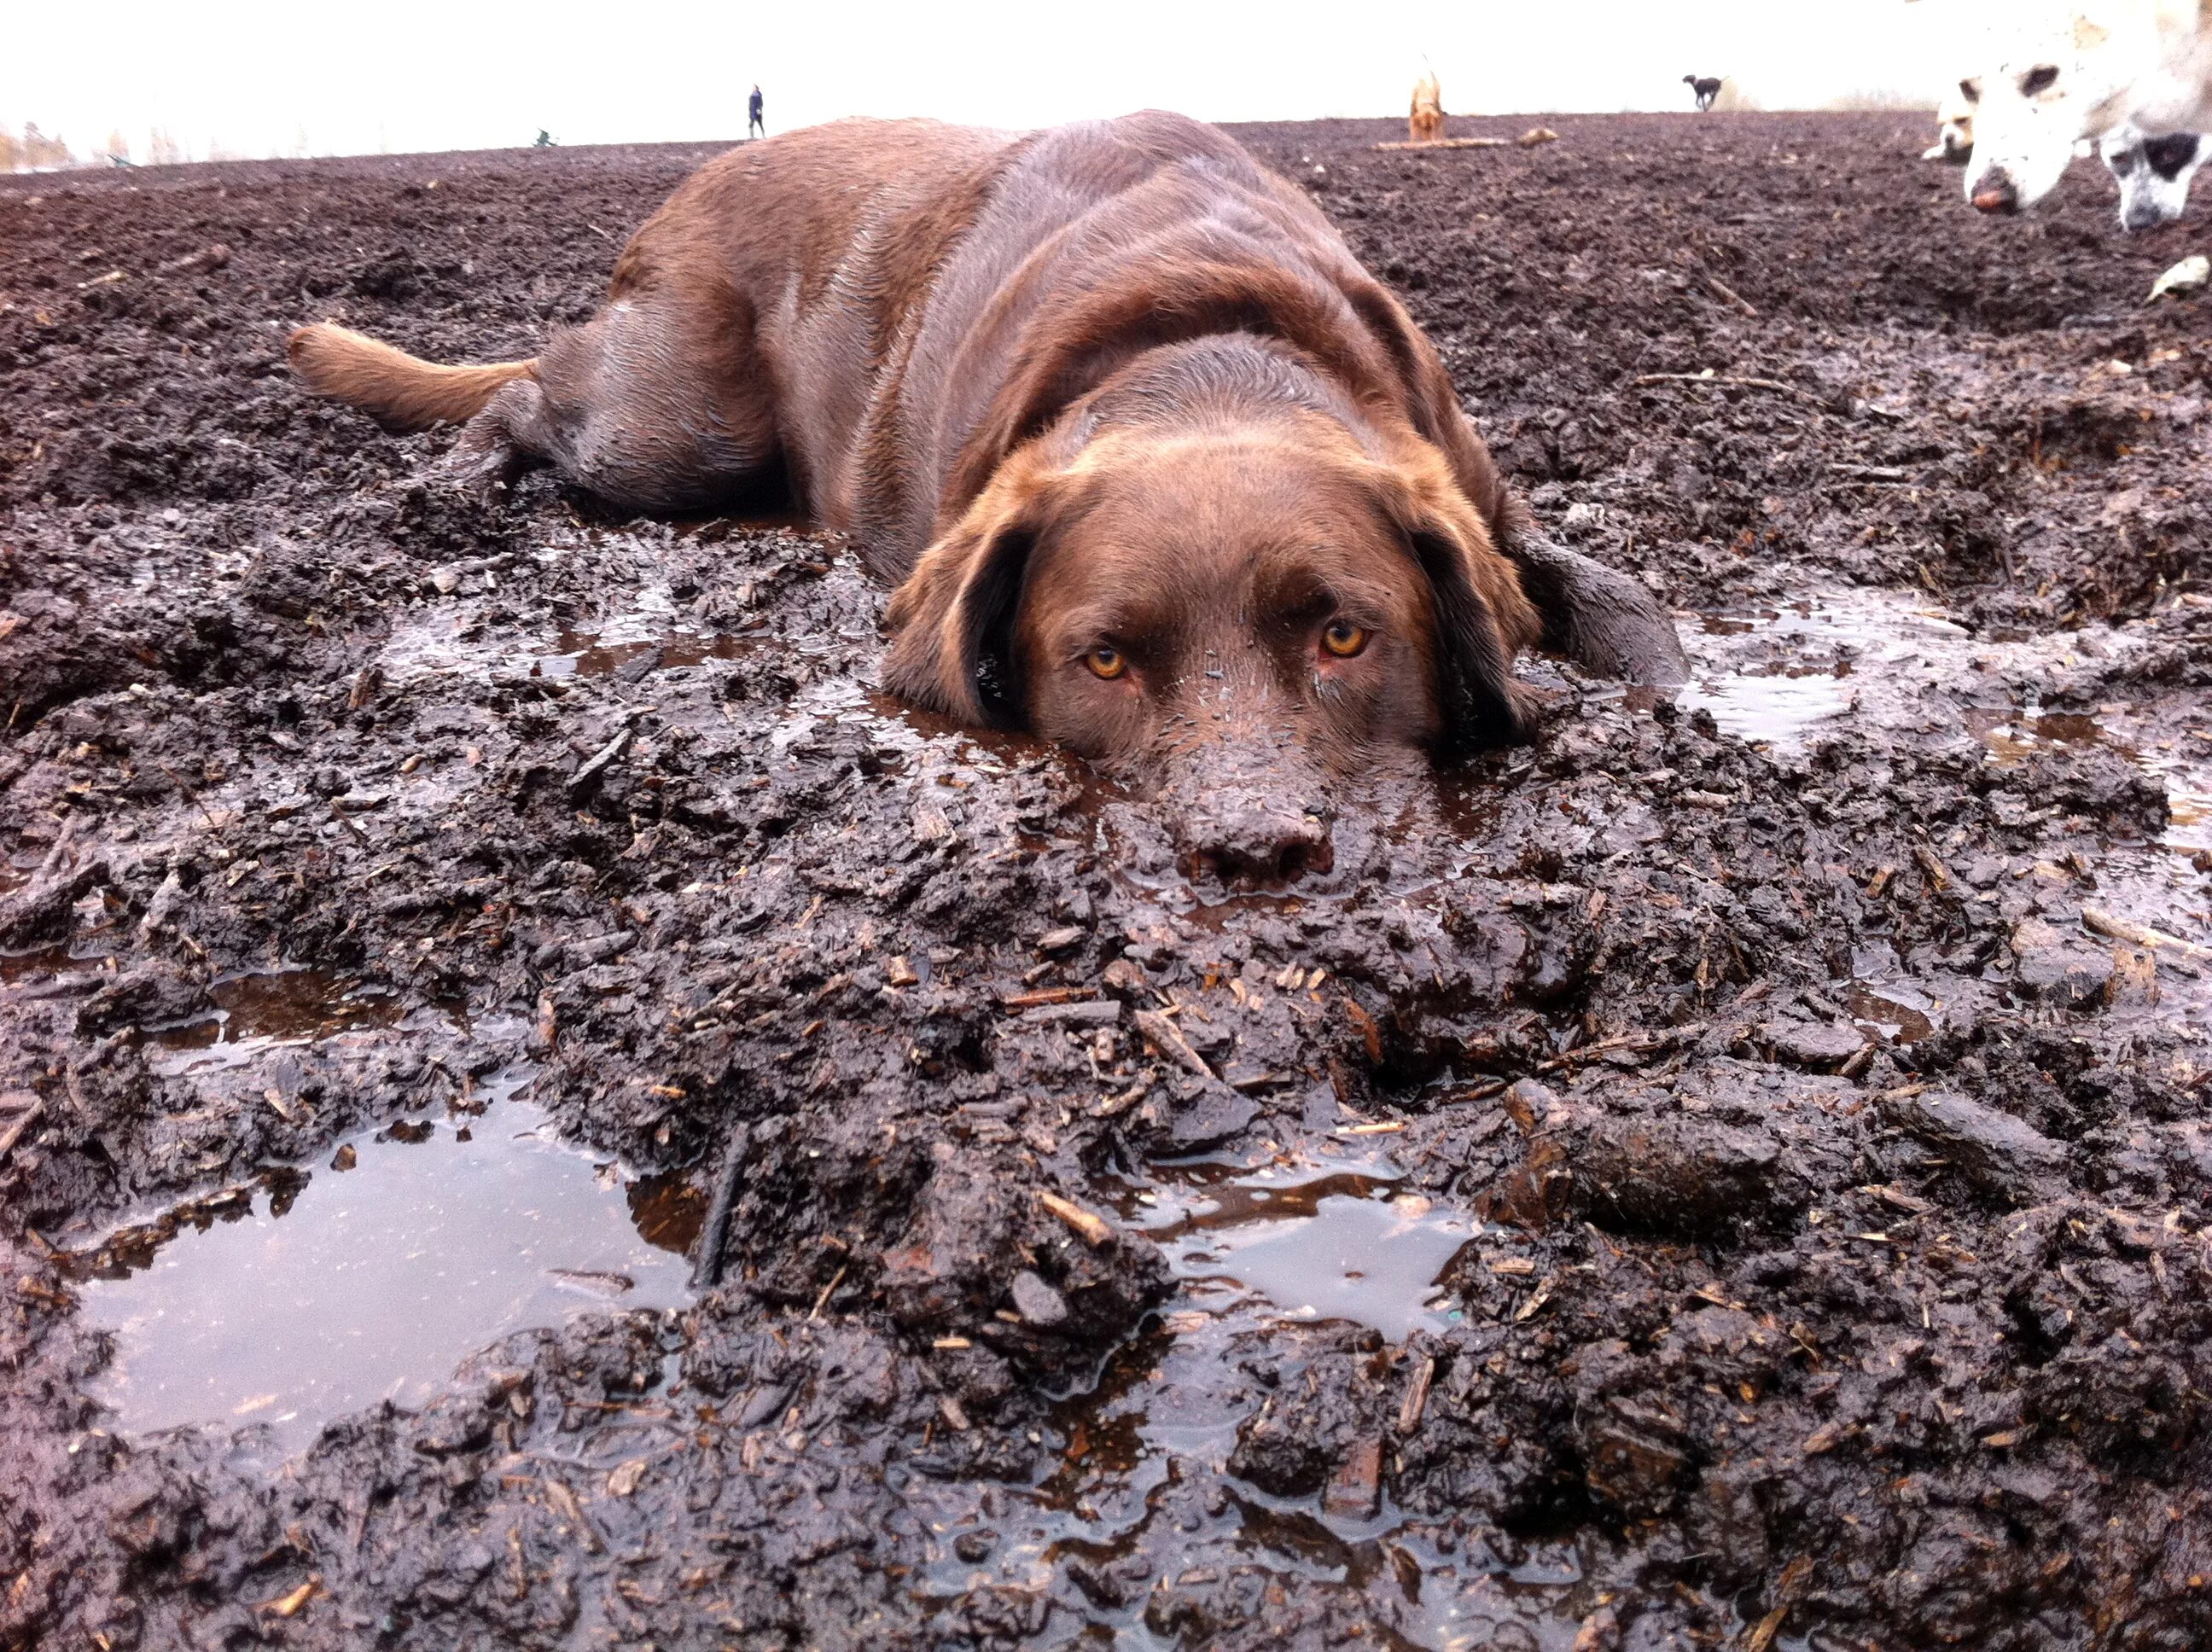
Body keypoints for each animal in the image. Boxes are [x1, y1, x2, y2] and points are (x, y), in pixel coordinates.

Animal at [289, 111, 1672, 884]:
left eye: (1345, 637)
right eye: (1102, 661)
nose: (1253, 853)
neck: (1207, 351)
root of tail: (693, 179)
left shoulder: (1472, 485)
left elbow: (1614, 596)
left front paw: (1649, 677)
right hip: (673, 429)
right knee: (529, 393)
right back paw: (456, 482)